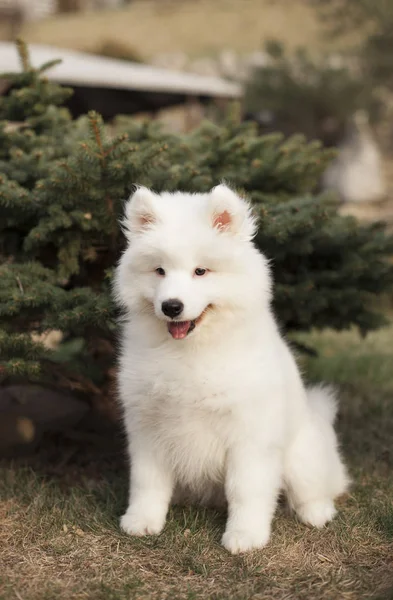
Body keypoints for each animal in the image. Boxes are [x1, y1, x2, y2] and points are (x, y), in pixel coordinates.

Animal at [112, 183, 346, 552]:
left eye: (201, 271)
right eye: (159, 271)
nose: (171, 306)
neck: (192, 350)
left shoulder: (249, 434)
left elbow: (246, 490)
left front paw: (244, 536)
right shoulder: (147, 428)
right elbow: (147, 481)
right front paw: (142, 520)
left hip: (301, 456)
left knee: (312, 489)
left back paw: (316, 513)